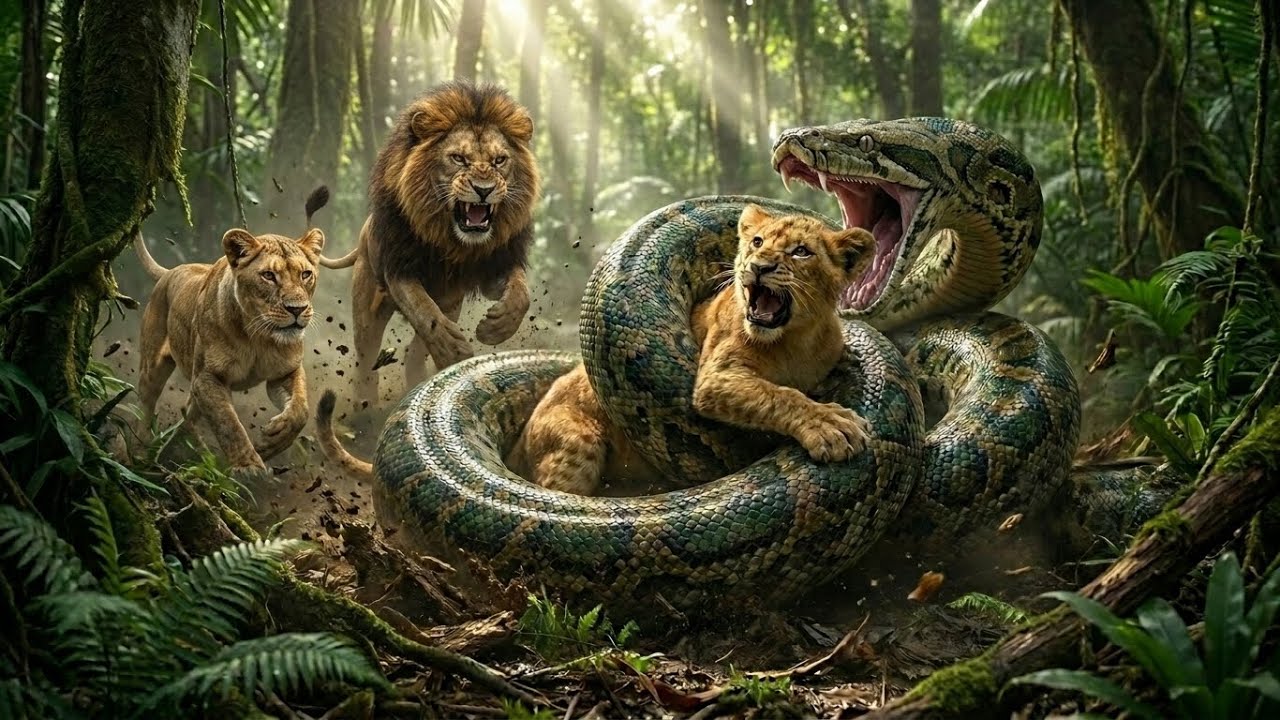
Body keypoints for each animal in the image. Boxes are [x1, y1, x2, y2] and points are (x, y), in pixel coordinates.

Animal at [133, 187, 329, 478]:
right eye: (268, 276)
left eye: (306, 274)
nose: (297, 309)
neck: (258, 336)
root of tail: (173, 270)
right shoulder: (208, 378)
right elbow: (228, 423)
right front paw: (249, 466)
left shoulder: (285, 373)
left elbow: (300, 409)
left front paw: (271, 443)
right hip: (154, 366)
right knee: (145, 405)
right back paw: (140, 452)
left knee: (187, 411)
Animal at [319, 81, 541, 407]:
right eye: (458, 158)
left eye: (500, 160)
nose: (484, 190)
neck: (454, 243)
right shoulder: (399, 270)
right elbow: (423, 311)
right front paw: (453, 351)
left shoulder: (495, 266)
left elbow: (520, 293)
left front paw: (495, 328)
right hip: (367, 306)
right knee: (366, 357)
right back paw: (366, 402)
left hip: (451, 304)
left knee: (415, 349)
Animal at [506, 204, 877, 496]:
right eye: (757, 242)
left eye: (801, 251)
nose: (759, 266)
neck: (796, 340)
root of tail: (520, 440)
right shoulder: (716, 377)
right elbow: (780, 394)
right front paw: (831, 425)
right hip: (576, 442)